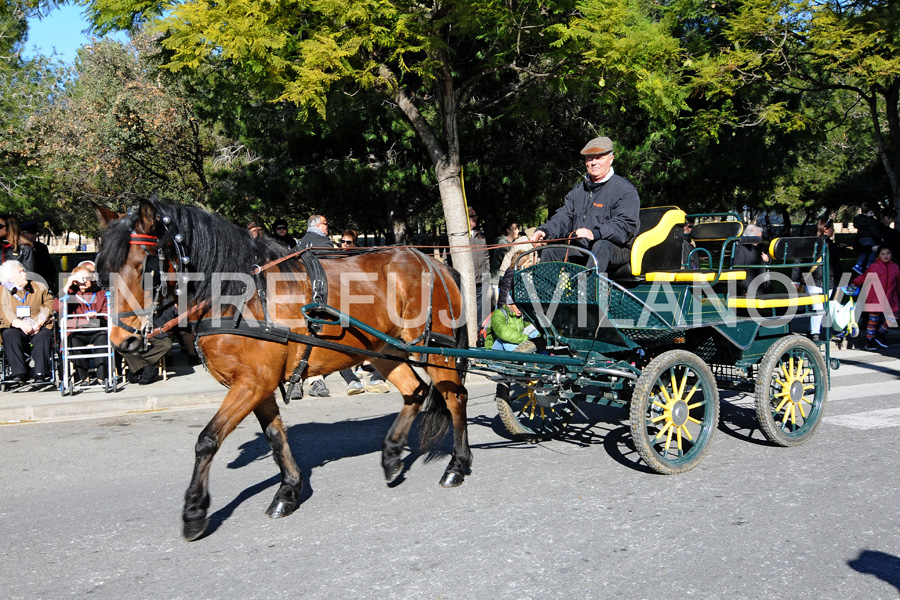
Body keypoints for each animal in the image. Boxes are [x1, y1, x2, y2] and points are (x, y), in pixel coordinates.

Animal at [94, 199, 472, 540]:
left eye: (144, 267)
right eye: (103, 272)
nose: (122, 341)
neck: (236, 294)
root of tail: (433, 261)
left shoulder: (251, 383)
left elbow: (207, 440)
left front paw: (194, 511)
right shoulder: (258, 386)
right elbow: (276, 437)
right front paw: (288, 491)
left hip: (435, 348)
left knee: (455, 398)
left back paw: (457, 465)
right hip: (384, 350)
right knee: (415, 392)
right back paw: (392, 456)